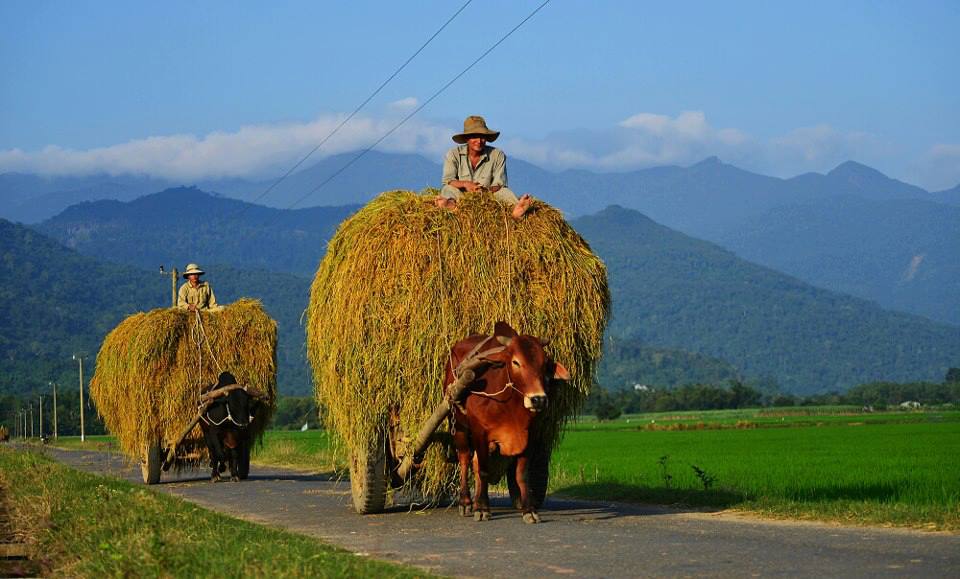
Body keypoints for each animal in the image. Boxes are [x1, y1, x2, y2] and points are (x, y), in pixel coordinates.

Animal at [444, 322, 568, 524]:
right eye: (516, 362)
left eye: (544, 364)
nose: (538, 400)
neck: (509, 405)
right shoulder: (480, 433)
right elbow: (484, 471)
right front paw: (482, 509)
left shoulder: (530, 435)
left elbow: (521, 474)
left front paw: (528, 510)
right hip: (459, 427)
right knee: (464, 459)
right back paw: (466, 502)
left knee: (475, 463)